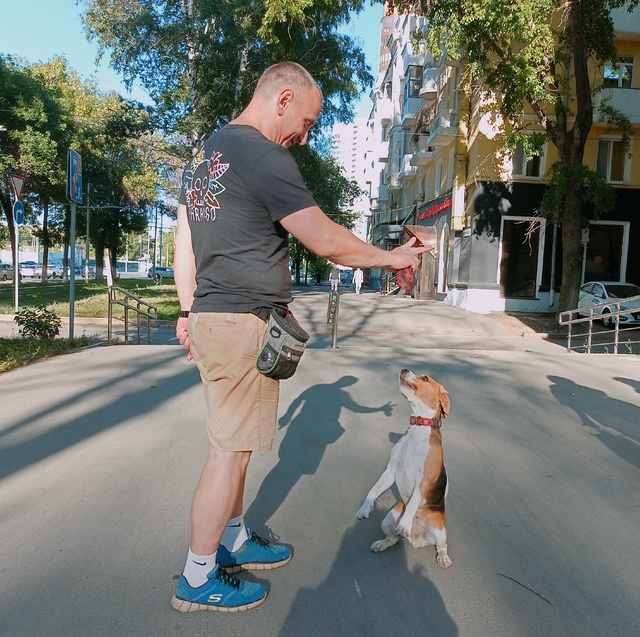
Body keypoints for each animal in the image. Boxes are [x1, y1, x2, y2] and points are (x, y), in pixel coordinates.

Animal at [358, 368, 452, 568]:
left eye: (425, 378)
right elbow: (374, 489)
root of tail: (416, 540)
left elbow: (414, 501)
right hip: (387, 519)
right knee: (393, 538)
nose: (404, 369)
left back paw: (442, 557)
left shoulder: (423, 480)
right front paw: (365, 507)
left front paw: (405, 524)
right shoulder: (390, 471)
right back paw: (382, 543)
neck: (419, 429)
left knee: (442, 546)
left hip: (440, 531)